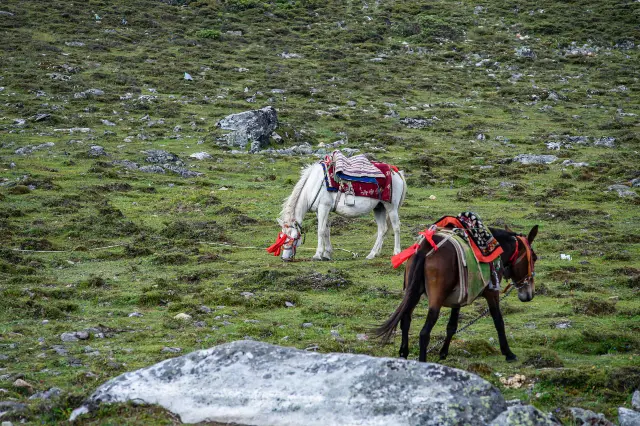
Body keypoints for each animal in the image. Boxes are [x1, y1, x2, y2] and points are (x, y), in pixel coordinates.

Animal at [271, 162, 406, 261]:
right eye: (281, 236)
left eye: (294, 237)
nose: (284, 258)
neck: (314, 185)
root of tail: (396, 172)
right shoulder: (320, 210)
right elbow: (326, 230)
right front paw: (327, 254)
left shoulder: (323, 207)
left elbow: (320, 231)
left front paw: (317, 255)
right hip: (379, 208)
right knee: (382, 229)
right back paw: (372, 254)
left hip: (391, 207)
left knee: (396, 227)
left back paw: (396, 252)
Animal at [374, 225, 538, 362]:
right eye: (534, 258)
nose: (529, 294)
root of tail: (426, 246)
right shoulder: (492, 293)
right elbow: (498, 321)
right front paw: (508, 353)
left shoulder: (458, 299)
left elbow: (452, 326)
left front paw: (443, 353)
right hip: (436, 300)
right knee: (424, 332)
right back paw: (422, 361)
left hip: (413, 292)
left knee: (405, 320)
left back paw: (404, 354)